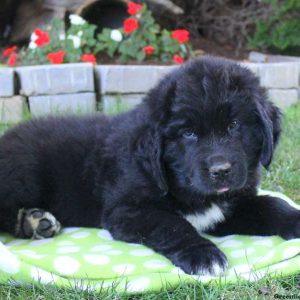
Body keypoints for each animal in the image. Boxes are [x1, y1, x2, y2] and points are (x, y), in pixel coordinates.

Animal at [0, 57, 300, 276]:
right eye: (188, 133)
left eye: (234, 125)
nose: (221, 170)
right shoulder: (127, 210)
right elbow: (172, 224)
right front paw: (203, 253)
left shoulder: (231, 207)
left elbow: (272, 204)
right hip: (25, 173)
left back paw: (37, 221)